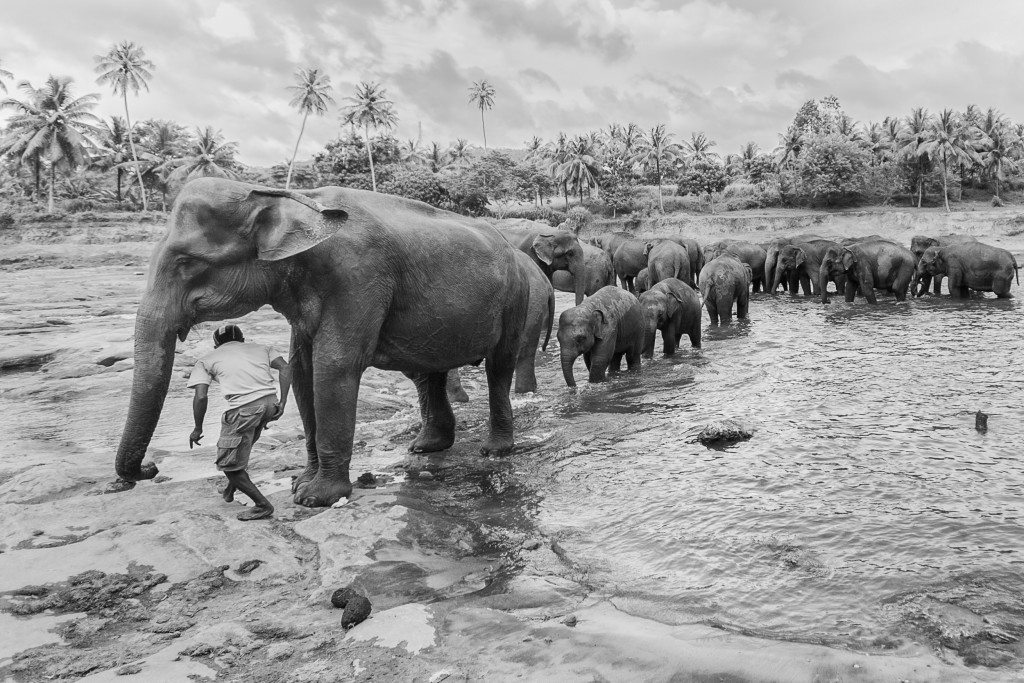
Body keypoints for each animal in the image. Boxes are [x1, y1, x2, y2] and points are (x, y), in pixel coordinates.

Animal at [116, 179, 532, 509]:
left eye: (187, 263)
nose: (149, 467)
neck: (292, 200)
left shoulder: (358, 277)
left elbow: (334, 366)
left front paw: (316, 497)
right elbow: (302, 371)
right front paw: (301, 482)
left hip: (514, 300)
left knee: (498, 366)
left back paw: (495, 450)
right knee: (428, 372)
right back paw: (426, 447)